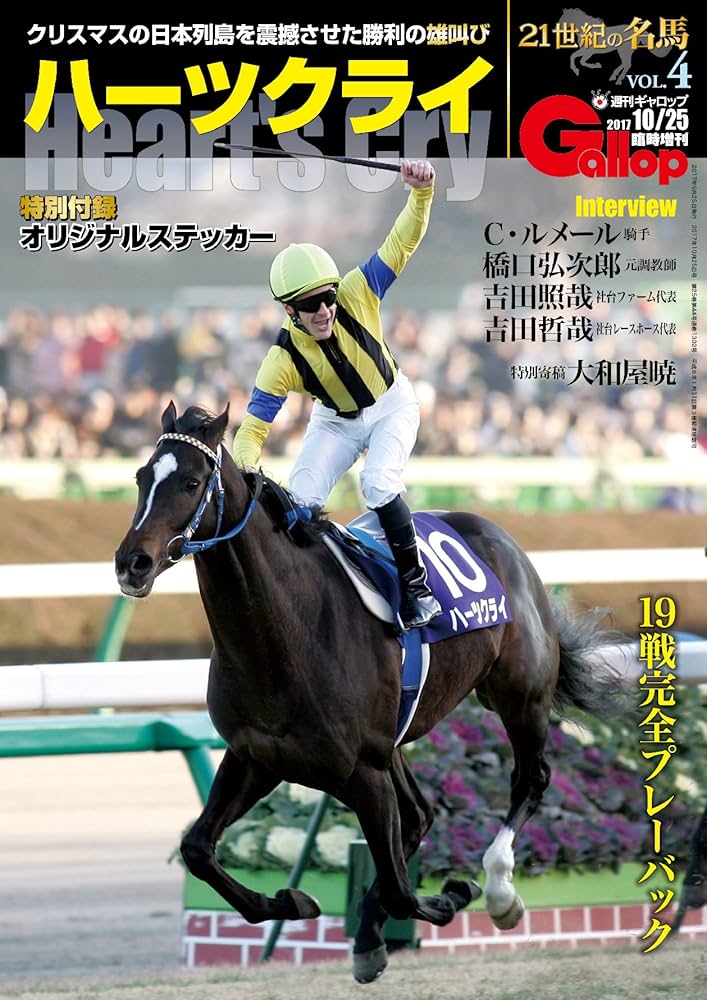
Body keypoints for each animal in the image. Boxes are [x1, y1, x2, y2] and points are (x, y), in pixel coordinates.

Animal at [114, 402, 632, 984]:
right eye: (142, 477)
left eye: (192, 481)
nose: (131, 562)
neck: (282, 633)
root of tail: (499, 535)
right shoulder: (258, 756)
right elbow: (199, 849)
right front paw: (293, 902)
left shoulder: (361, 768)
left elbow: (406, 890)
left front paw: (452, 894)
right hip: (396, 740)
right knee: (420, 814)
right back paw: (369, 932)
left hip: (519, 697)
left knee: (529, 779)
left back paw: (499, 891)